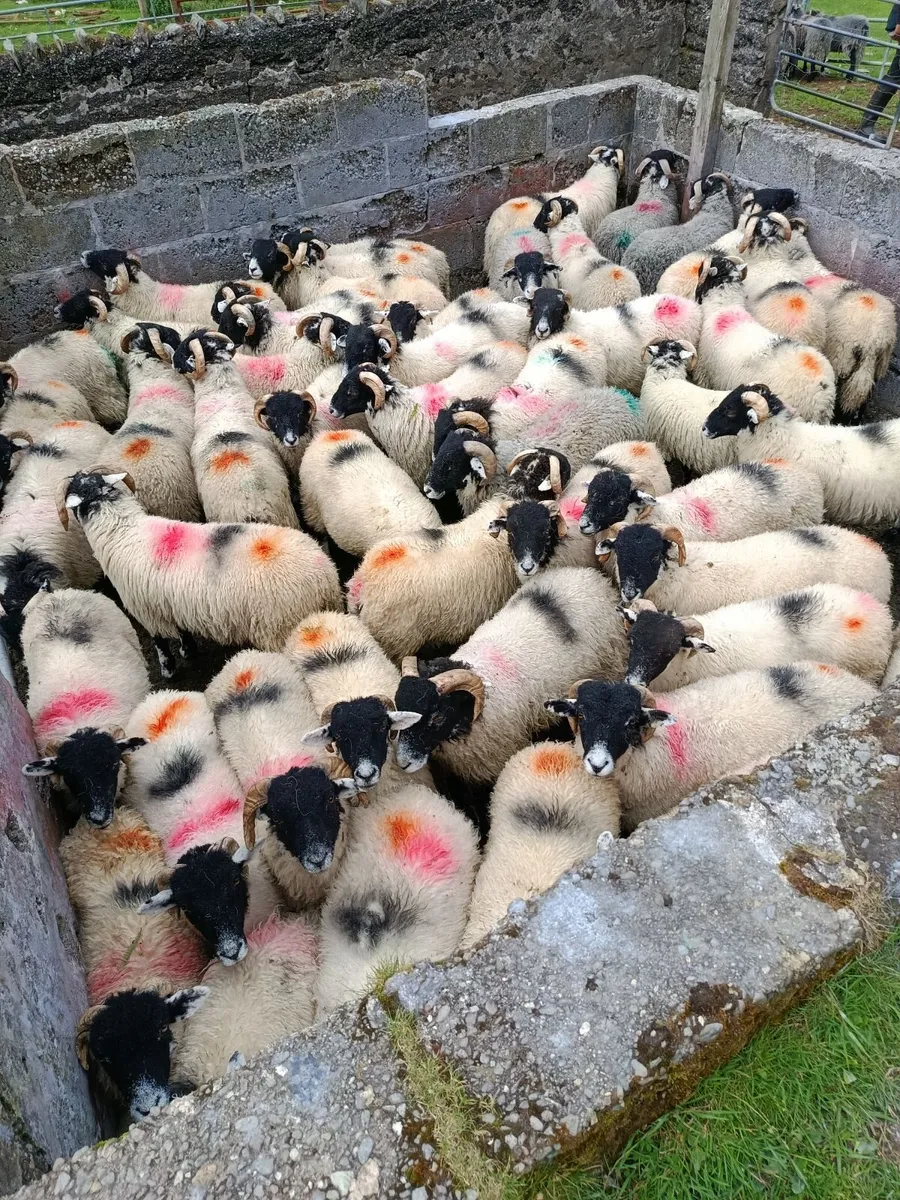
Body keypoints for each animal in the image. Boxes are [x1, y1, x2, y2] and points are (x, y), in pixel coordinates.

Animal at [57, 469, 342, 664]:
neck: (123, 530)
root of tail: (324, 574)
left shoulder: (144, 608)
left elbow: (160, 643)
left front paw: (168, 667)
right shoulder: (169, 601)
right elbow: (183, 631)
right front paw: (187, 650)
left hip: (278, 627)